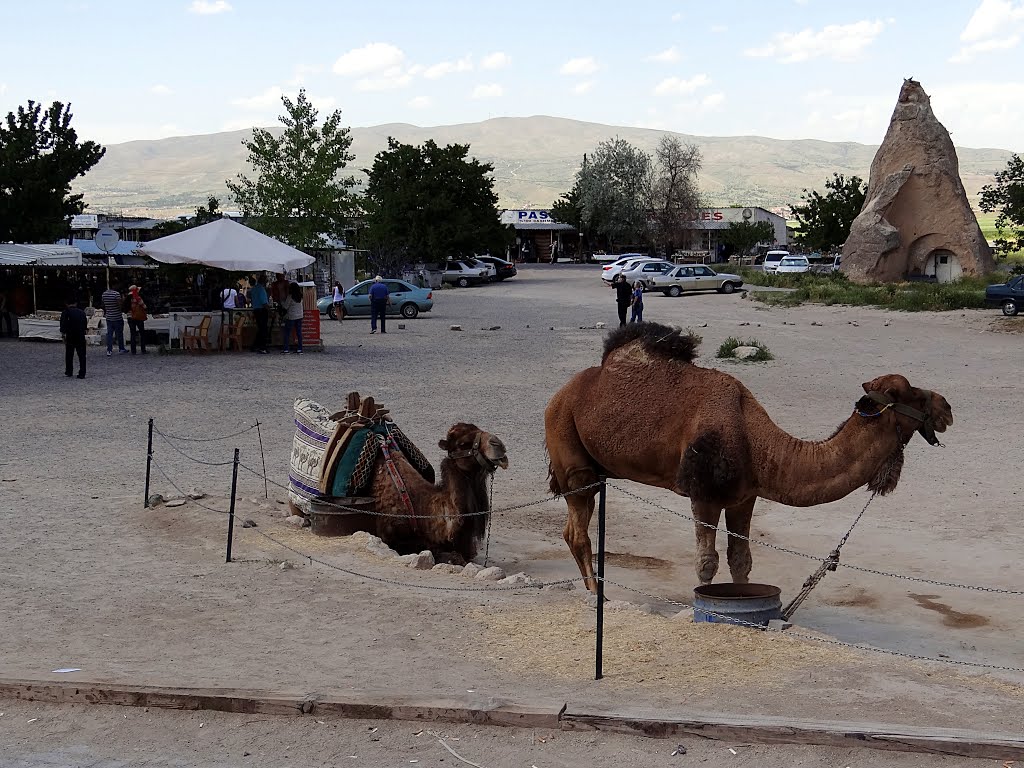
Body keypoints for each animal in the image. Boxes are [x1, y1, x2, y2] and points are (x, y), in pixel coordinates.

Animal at [544, 321, 950, 593]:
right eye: (911, 394)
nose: (947, 408)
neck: (754, 440)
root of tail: (561, 393)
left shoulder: (745, 496)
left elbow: (742, 560)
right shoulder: (703, 494)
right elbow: (706, 562)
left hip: (596, 465)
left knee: (573, 527)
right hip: (569, 448)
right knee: (578, 529)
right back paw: (598, 596)